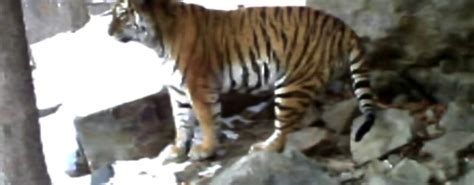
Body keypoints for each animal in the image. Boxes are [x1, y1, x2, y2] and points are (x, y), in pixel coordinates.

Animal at [108, 0, 378, 162]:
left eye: (121, 14)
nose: (108, 32)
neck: (157, 42)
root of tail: (342, 25)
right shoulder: (178, 89)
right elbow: (181, 123)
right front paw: (177, 149)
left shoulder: (199, 86)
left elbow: (206, 120)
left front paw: (205, 150)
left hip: (291, 84)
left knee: (284, 128)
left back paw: (264, 148)